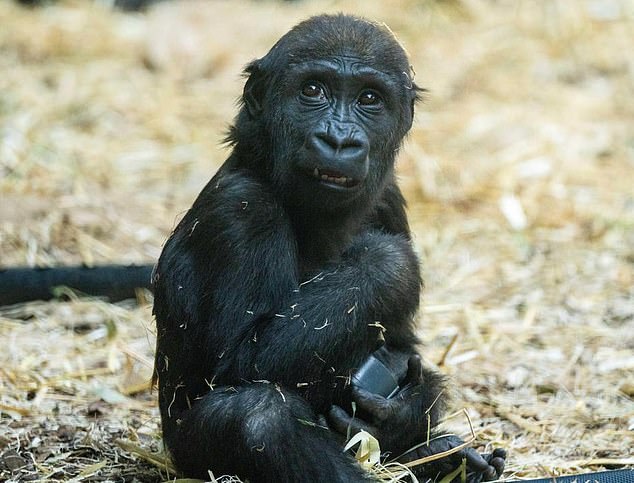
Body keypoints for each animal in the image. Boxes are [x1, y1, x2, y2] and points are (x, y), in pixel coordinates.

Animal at [152, 13, 504, 482]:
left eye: (369, 98)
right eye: (313, 91)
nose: (339, 140)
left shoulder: (389, 199)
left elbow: (403, 346)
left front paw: (403, 411)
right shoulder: (243, 208)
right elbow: (242, 361)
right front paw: (388, 264)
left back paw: (441, 458)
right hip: (188, 460)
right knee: (257, 415)